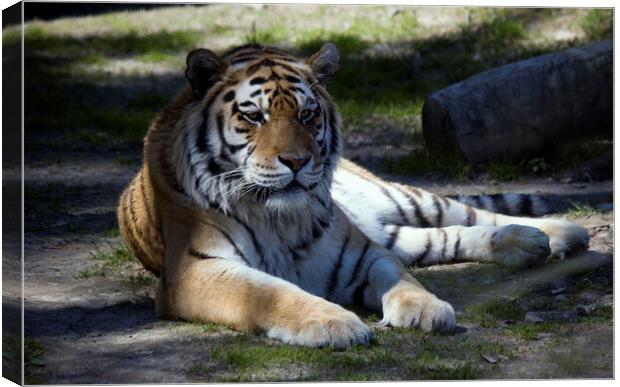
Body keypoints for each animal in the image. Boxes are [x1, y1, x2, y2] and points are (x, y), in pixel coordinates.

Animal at [117, 42, 592, 348]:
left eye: (308, 114)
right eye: (253, 116)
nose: (296, 161)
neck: (280, 219)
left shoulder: (362, 251)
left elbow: (403, 280)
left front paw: (425, 308)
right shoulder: (195, 270)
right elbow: (272, 293)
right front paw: (332, 322)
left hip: (401, 202)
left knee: (471, 216)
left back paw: (558, 233)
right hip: (393, 231)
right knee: (445, 237)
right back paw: (534, 244)